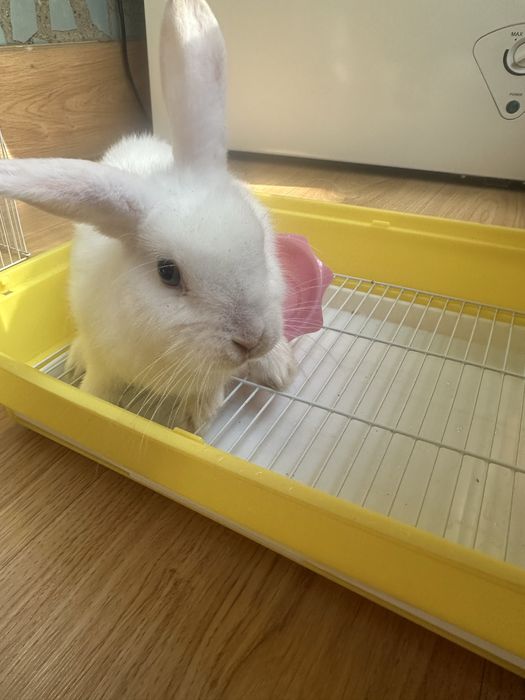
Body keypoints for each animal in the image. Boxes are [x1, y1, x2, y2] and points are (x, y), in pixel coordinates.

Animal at [0, 0, 297, 431]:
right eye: (168, 273)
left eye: (260, 242)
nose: (251, 339)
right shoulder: (106, 359)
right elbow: (100, 389)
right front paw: (90, 403)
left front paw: (197, 415)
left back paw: (279, 367)